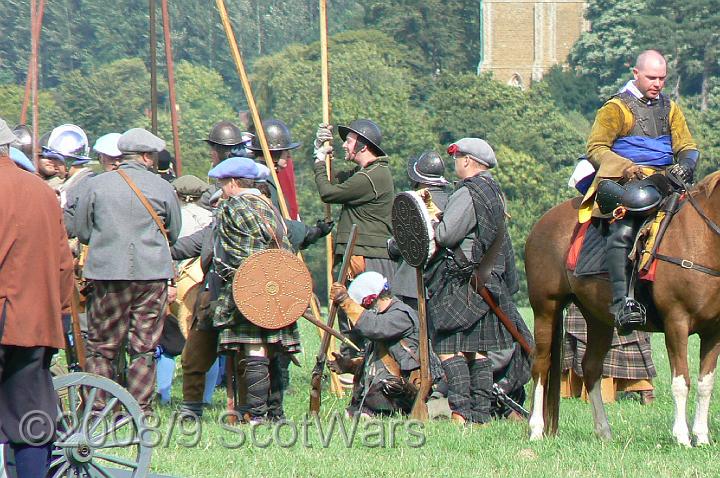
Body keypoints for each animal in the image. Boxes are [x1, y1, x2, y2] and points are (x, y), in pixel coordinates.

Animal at [524, 172, 720, 444]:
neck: (700, 239)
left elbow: (705, 384)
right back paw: (536, 429)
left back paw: (604, 431)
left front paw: (701, 437)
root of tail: (542, 223)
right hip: (545, 308)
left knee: (591, 368)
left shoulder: (713, 332)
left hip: (598, 319)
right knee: (541, 365)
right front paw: (682, 437)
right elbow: (682, 382)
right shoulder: (676, 324)